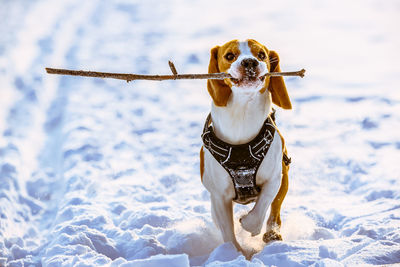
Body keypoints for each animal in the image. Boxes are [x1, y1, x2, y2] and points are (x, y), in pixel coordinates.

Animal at [199, 38, 290, 254]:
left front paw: (248, 224)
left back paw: (272, 234)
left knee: (274, 212)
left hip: (285, 178)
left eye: (262, 55)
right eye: (230, 56)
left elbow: (262, 207)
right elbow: (227, 229)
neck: (242, 115)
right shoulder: (219, 195)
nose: (250, 62)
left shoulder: (275, 178)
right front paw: (234, 253)